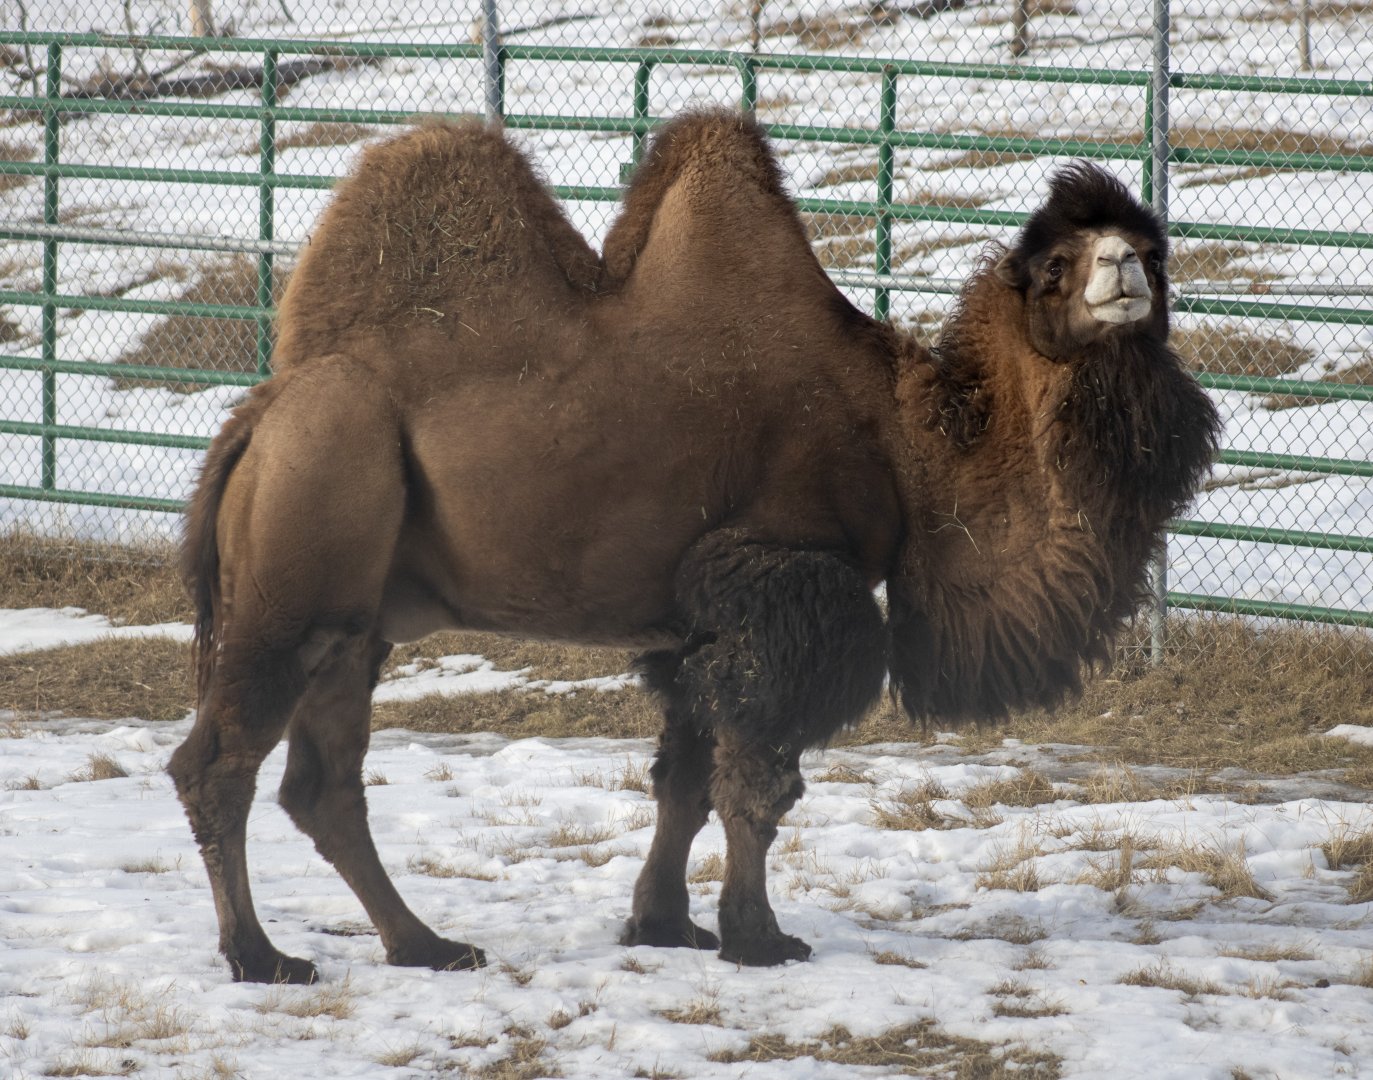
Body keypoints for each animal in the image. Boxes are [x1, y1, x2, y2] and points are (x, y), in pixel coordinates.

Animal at [168, 111, 1220, 983]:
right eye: (1055, 265)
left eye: (1152, 250)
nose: (1123, 271)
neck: (901, 438)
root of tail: (255, 417)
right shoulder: (785, 582)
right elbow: (757, 780)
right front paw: (759, 937)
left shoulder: (691, 621)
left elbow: (683, 781)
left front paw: (664, 924)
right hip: (295, 567)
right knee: (218, 764)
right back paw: (261, 957)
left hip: (356, 623)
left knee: (324, 785)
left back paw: (425, 945)